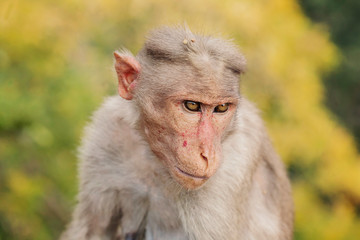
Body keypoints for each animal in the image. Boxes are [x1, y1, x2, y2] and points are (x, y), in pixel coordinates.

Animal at [60, 26, 294, 240]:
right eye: (192, 105)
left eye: (221, 108)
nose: (208, 155)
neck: (158, 160)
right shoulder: (106, 133)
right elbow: (94, 230)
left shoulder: (232, 169)